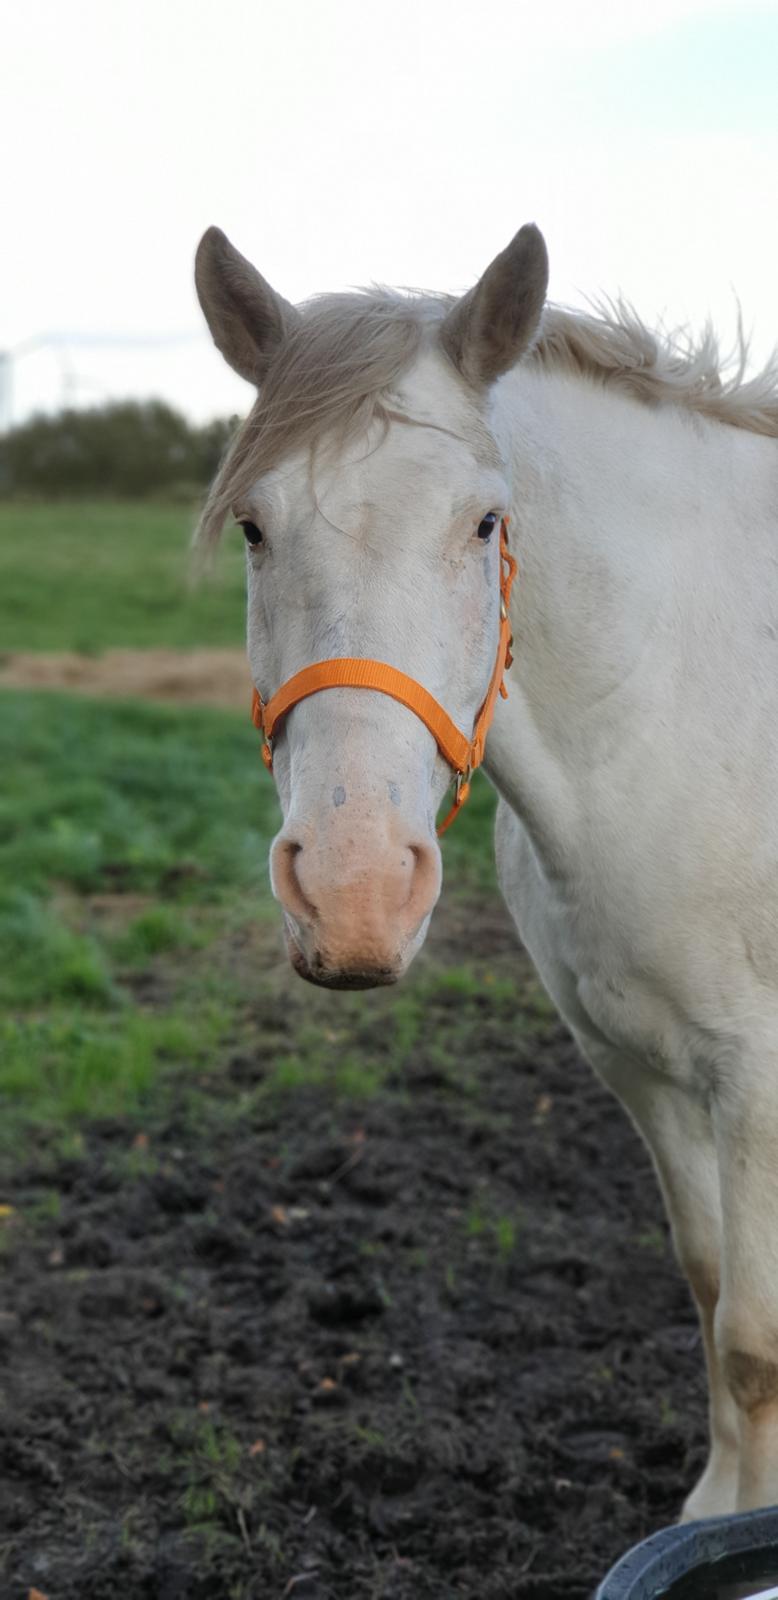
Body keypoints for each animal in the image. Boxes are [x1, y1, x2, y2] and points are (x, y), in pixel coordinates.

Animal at [192, 219, 778, 1516]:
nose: (354, 894)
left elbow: (756, 1339)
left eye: (482, 524)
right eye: (255, 527)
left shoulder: (758, 1080)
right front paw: (716, 1510)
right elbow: (711, 1289)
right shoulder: (638, 1066)